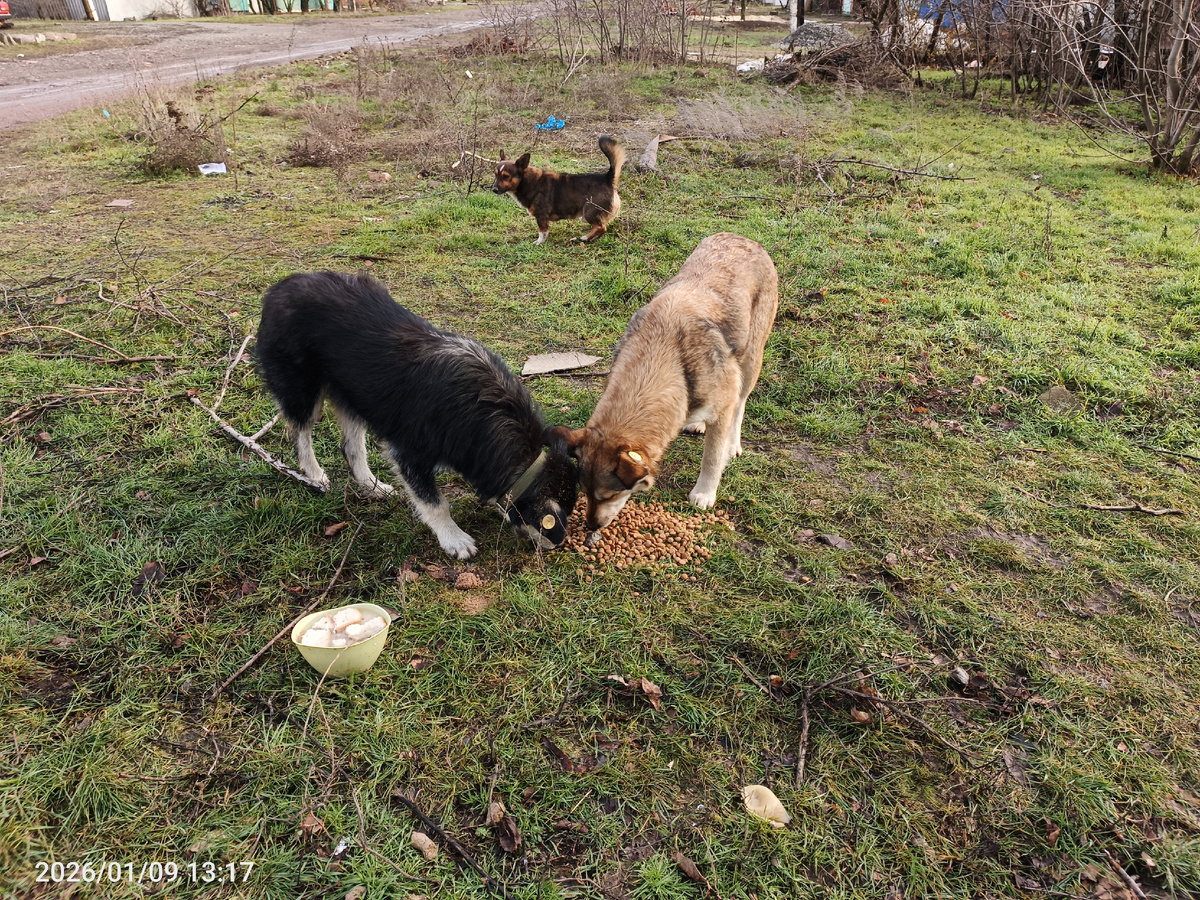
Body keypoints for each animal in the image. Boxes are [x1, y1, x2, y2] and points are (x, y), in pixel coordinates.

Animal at [256, 271, 578, 559]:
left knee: (350, 447)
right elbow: (435, 503)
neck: (487, 412)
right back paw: (314, 474)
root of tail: (279, 288)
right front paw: (454, 538)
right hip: (301, 390)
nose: (558, 546)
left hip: (356, 397)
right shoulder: (409, 454)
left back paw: (372, 486)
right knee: (300, 434)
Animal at [492, 135, 625, 245]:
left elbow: (542, 232)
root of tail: (607, 178)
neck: (525, 181)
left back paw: (585, 238)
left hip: (588, 212)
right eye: (495, 174)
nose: (494, 189)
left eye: (506, 176)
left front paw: (539, 242)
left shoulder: (542, 217)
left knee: (601, 228)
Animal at [565, 233, 778, 533]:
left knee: (741, 403)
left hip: (750, 360)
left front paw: (704, 493)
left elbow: (713, 457)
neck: (661, 355)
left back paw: (733, 444)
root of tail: (742, 237)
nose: (591, 526)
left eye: (610, 495)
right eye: (584, 492)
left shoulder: (724, 403)